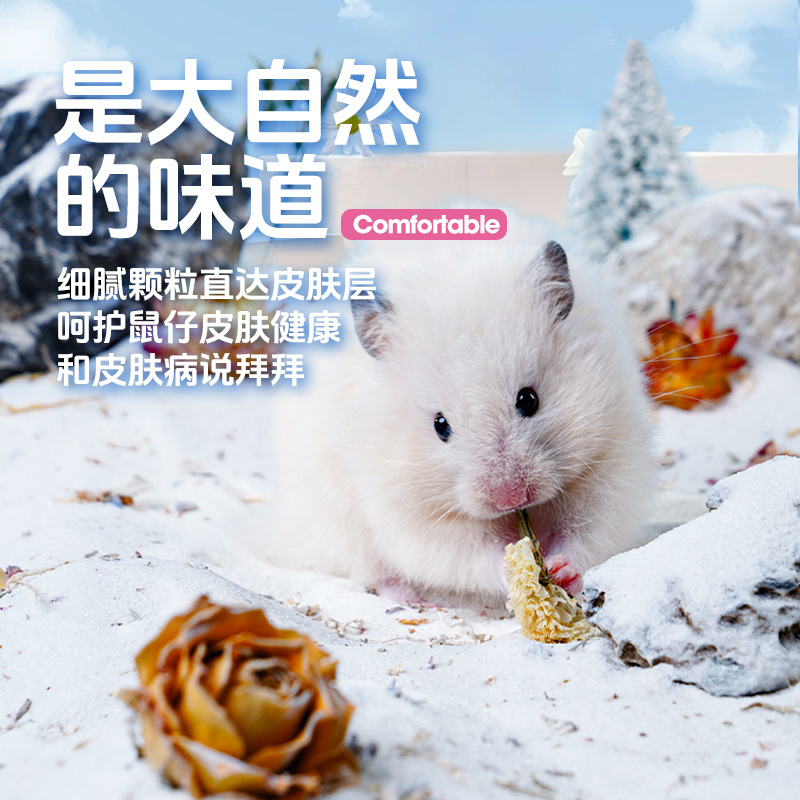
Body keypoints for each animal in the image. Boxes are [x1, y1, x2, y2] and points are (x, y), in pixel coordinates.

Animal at [267, 213, 654, 607]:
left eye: (529, 400)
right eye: (441, 426)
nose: (511, 498)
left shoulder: (609, 462)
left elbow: (587, 532)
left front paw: (560, 570)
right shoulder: (409, 514)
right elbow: (468, 555)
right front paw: (516, 570)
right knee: (374, 571)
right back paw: (412, 599)